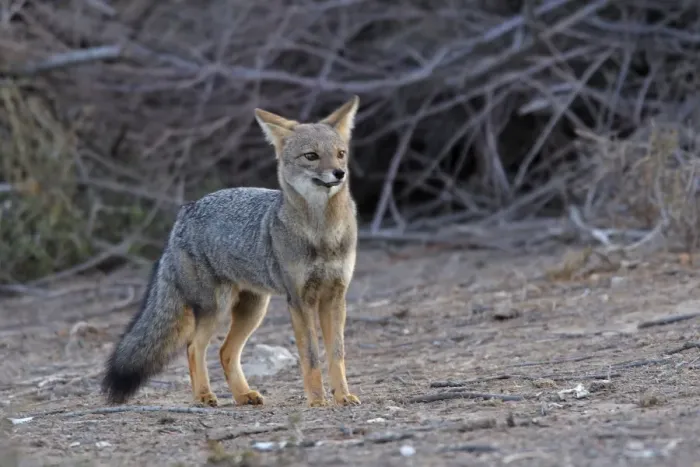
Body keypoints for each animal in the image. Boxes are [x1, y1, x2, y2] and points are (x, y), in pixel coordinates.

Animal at [101, 96, 362, 408]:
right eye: (311, 156)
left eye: (340, 154)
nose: (340, 173)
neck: (323, 234)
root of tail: (186, 211)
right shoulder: (300, 300)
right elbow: (310, 356)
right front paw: (317, 400)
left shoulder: (336, 296)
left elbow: (337, 354)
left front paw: (343, 395)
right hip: (216, 307)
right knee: (194, 346)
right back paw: (203, 395)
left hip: (253, 310)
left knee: (225, 351)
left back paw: (243, 395)